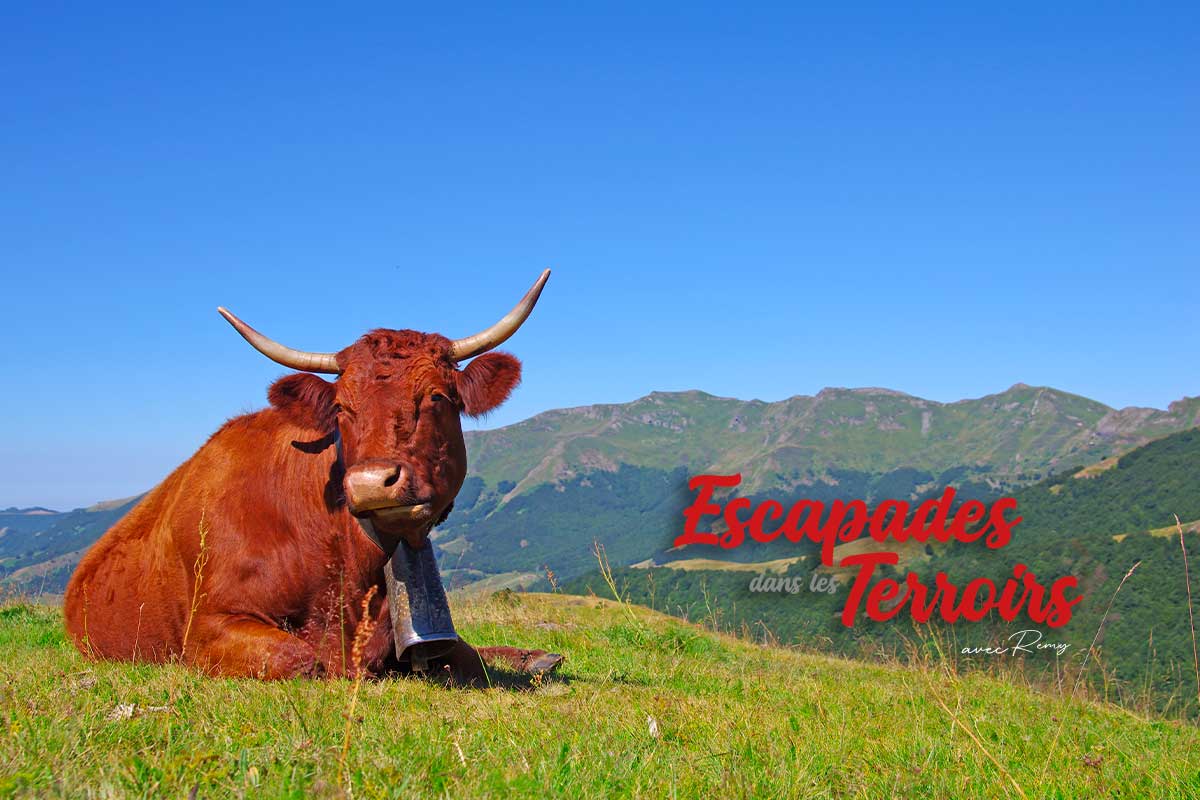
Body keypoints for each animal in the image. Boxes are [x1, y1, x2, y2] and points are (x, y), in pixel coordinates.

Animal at [63, 271, 555, 683]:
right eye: (341, 408)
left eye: (436, 396)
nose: (371, 482)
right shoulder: (207, 627)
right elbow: (303, 658)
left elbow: (463, 653)